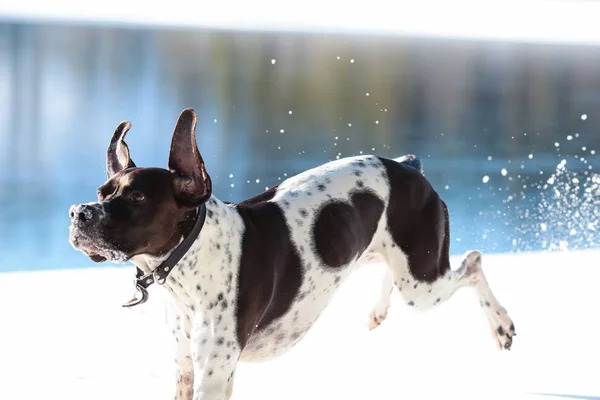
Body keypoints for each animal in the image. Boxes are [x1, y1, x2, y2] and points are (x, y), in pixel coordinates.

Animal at [69, 108, 510, 400]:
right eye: (102, 192)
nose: (78, 213)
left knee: (473, 261)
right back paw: (379, 309)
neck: (192, 258)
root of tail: (409, 168)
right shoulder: (186, 369)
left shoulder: (214, 374)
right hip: (400, 266)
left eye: (138, 197)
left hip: (423, 284)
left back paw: (501, 325)